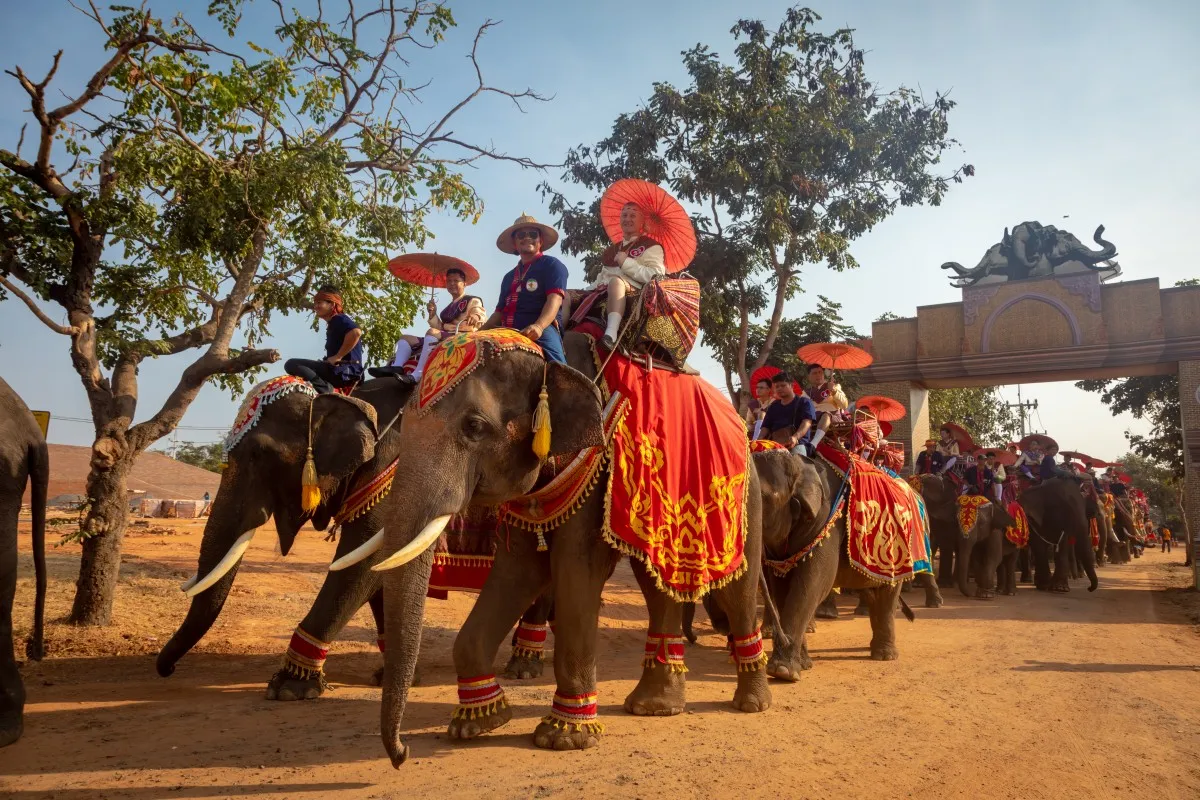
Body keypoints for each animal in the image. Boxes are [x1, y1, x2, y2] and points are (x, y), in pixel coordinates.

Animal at [744, 450, 912, 681]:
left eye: (764, 497)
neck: (800, 465)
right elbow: (782, 587)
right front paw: (803, 665)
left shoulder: (828, 522)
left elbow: (813, 583)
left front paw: (783, 672)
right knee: (872, 593)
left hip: (896, 551)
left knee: (887, 593)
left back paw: (884, 656)